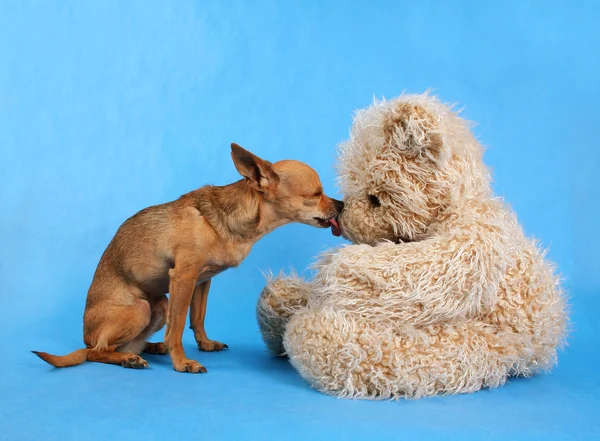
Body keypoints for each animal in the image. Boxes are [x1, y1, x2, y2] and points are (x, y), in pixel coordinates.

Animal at [34, 144, 342, 372]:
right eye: (316, 194)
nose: (341, 204)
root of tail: (85, 338)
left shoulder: (202, 281)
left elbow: (198, 317)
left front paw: (204, 344)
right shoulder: (183, 276)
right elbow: (179, 325)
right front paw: (182, 362)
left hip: (159, 305)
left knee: (118, 344)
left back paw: (149, 347)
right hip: (141, 308)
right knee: (97, 352)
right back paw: (128, 359)